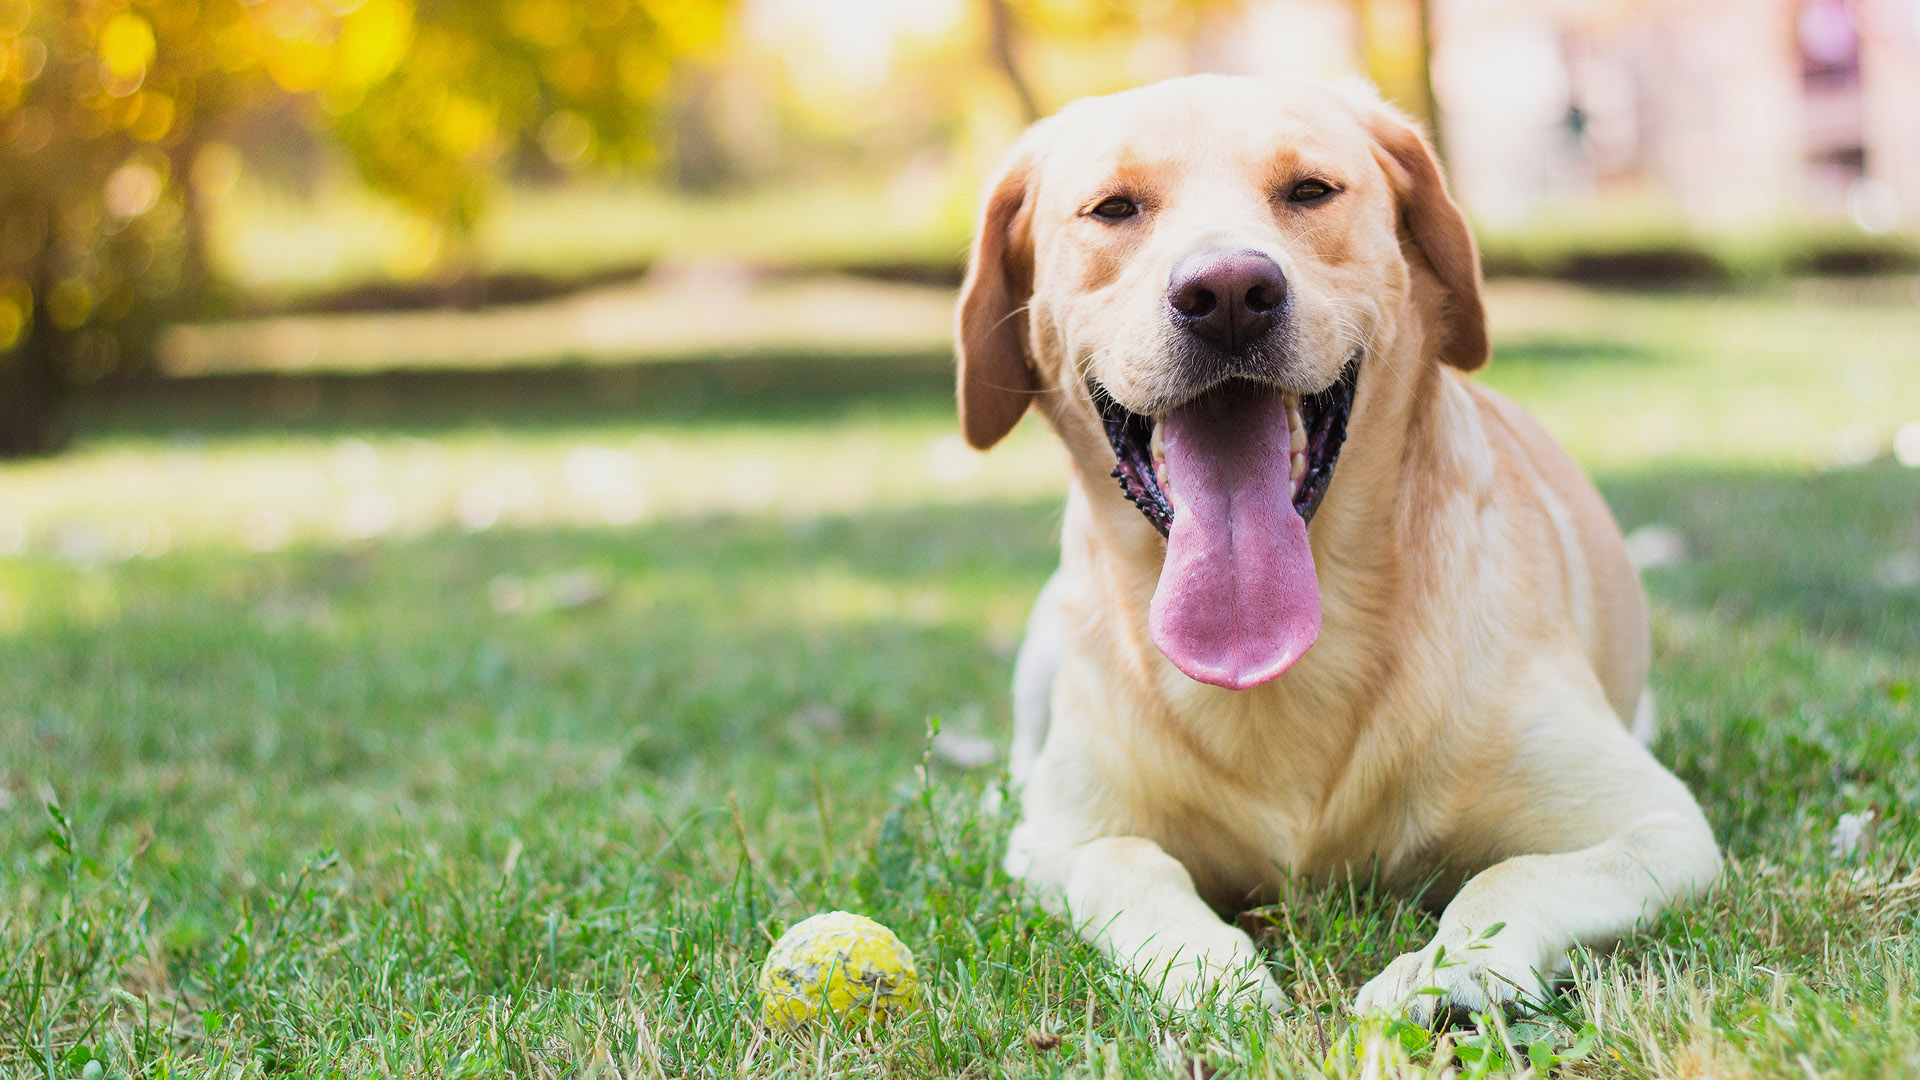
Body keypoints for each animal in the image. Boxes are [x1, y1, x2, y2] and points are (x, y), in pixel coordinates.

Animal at [960, 75, 1728, 1014]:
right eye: (1112, 208)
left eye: (1310, 191)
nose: (1227, 293)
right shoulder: (1063, 843)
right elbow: (1127, 863)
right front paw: (1209, 971)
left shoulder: (1660, 826)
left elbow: (1509, 878)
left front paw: (1450, 971)